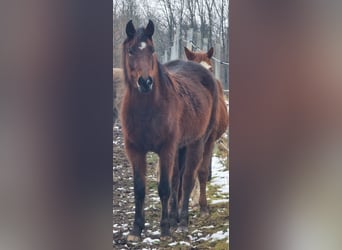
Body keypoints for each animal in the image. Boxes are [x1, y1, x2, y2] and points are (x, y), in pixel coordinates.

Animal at [119, 20, 216, 242]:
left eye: (152, 50)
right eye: (130, 51)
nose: (145, 82)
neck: (148, 110)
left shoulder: (166, 149)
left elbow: (164, 187)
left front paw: (163, 229)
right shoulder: (134, 150)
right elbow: (140, 189)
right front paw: (136, 230)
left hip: (197, 142)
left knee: (187, 180)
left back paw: (182, 222)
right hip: (181, 148)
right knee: (178, 181)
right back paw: (174, 219)